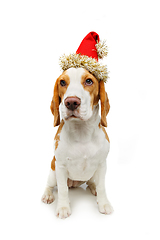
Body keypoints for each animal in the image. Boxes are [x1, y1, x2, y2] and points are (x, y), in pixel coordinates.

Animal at [41, 66, 114, 218]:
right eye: (62, 82)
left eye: (89, 81)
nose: (71, 102)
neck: (82, 132)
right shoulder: (60, 166)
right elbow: (62, 189)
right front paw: (63, 207)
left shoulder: (102, 165)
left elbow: (102, 186)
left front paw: (104, 203)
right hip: (53, 172)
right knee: (51, 185)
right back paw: (48, 195)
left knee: (93, 182)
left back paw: (93, 188)